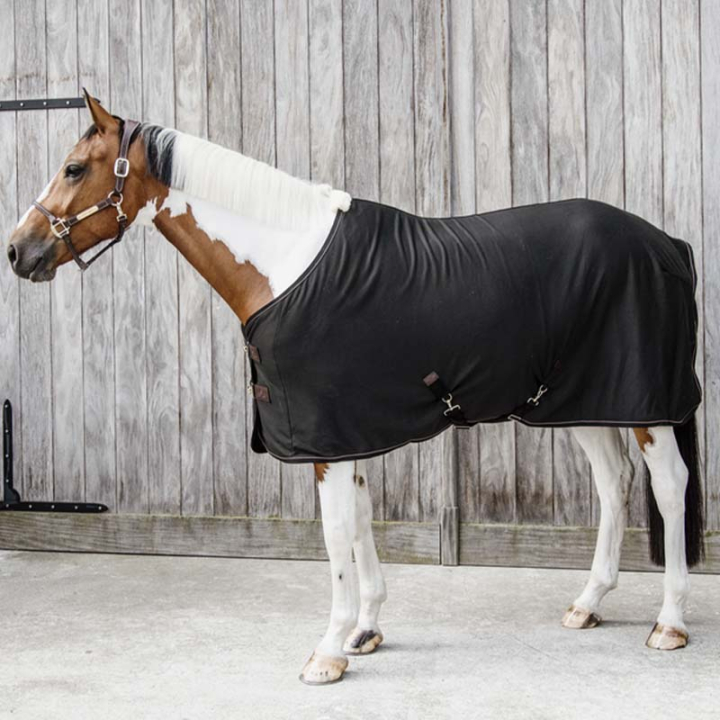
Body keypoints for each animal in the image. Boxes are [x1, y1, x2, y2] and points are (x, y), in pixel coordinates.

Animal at [7, 92, 704, 685]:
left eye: (73, 168)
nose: (17, 251)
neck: (287, 264)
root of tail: (663, 242)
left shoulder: (327, 439)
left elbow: (336, 534)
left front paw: (328, 650)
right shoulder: (348, 434)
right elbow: (362, 521)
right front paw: (365, 630)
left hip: (645, 404)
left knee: (669, 486)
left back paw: (669, 622)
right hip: (584, 401)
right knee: (613, 483)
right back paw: (588, 603)